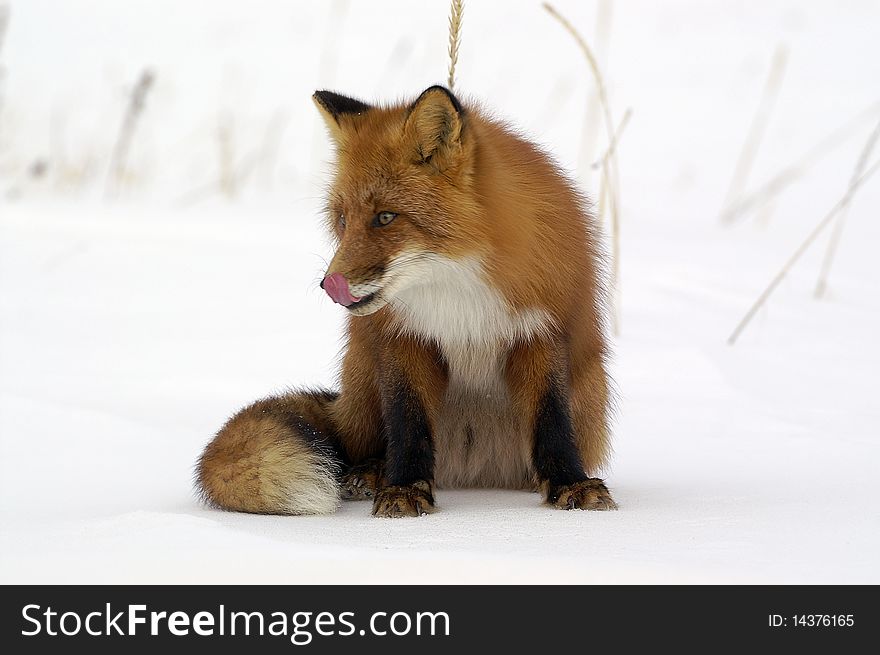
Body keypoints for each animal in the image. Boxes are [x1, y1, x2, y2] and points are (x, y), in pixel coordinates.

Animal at [196, 86, 616, 516]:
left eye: (385, 217)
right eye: (343, 219)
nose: (329, 285)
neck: (458, 296)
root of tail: (475, 470)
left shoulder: (540, 333)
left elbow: (552, 423)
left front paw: (570, 485)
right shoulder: (404, 340)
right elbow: (408, 424)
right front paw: (404, 489)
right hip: (363, 379)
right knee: (356, 447)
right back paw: (371, 472)